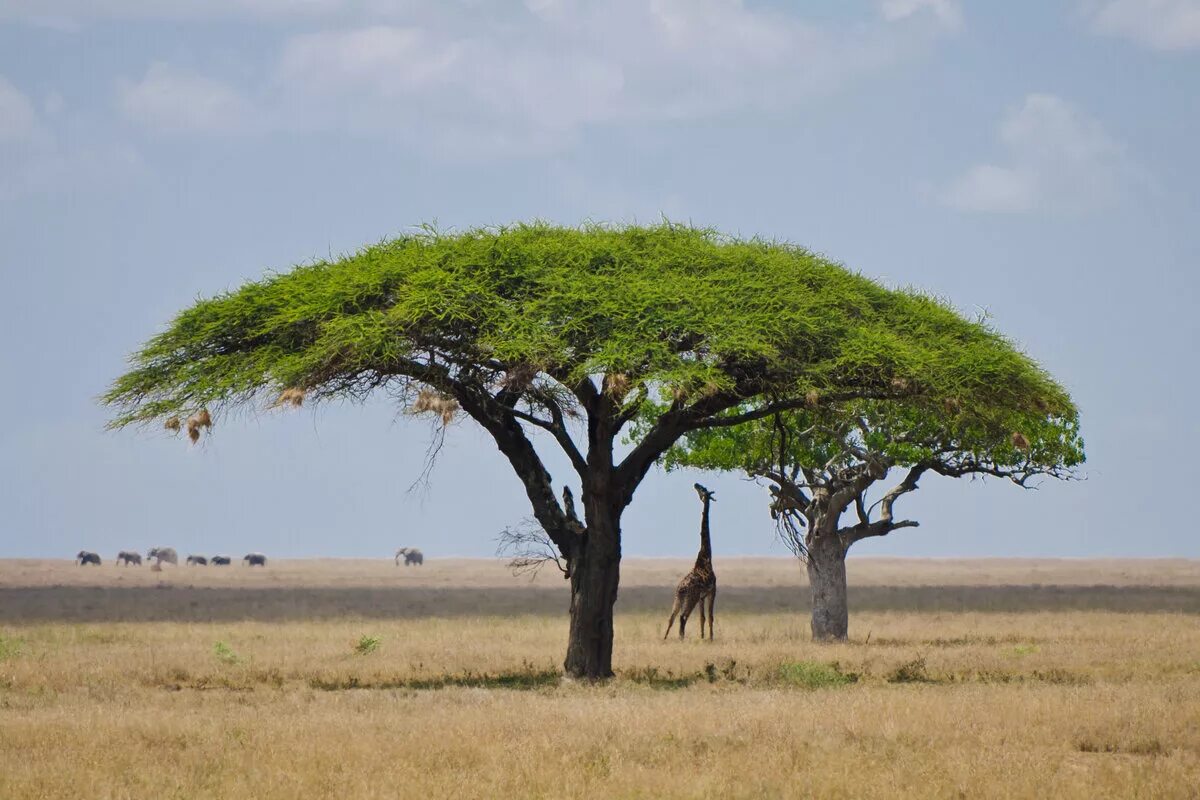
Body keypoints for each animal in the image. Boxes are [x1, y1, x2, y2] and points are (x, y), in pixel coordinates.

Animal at [662, 482, 715, 642]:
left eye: (703, 489)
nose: (696, 484)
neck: (706, 556)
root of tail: (681, 589)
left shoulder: (703, 596)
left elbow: (703, 618)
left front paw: (703, 637)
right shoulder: (712, 590)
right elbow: (710, 617)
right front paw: (711, 638)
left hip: (679, 599)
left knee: (671, 618)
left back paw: (665, 638)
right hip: (691, 598)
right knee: (683, 617)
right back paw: (681, 638)